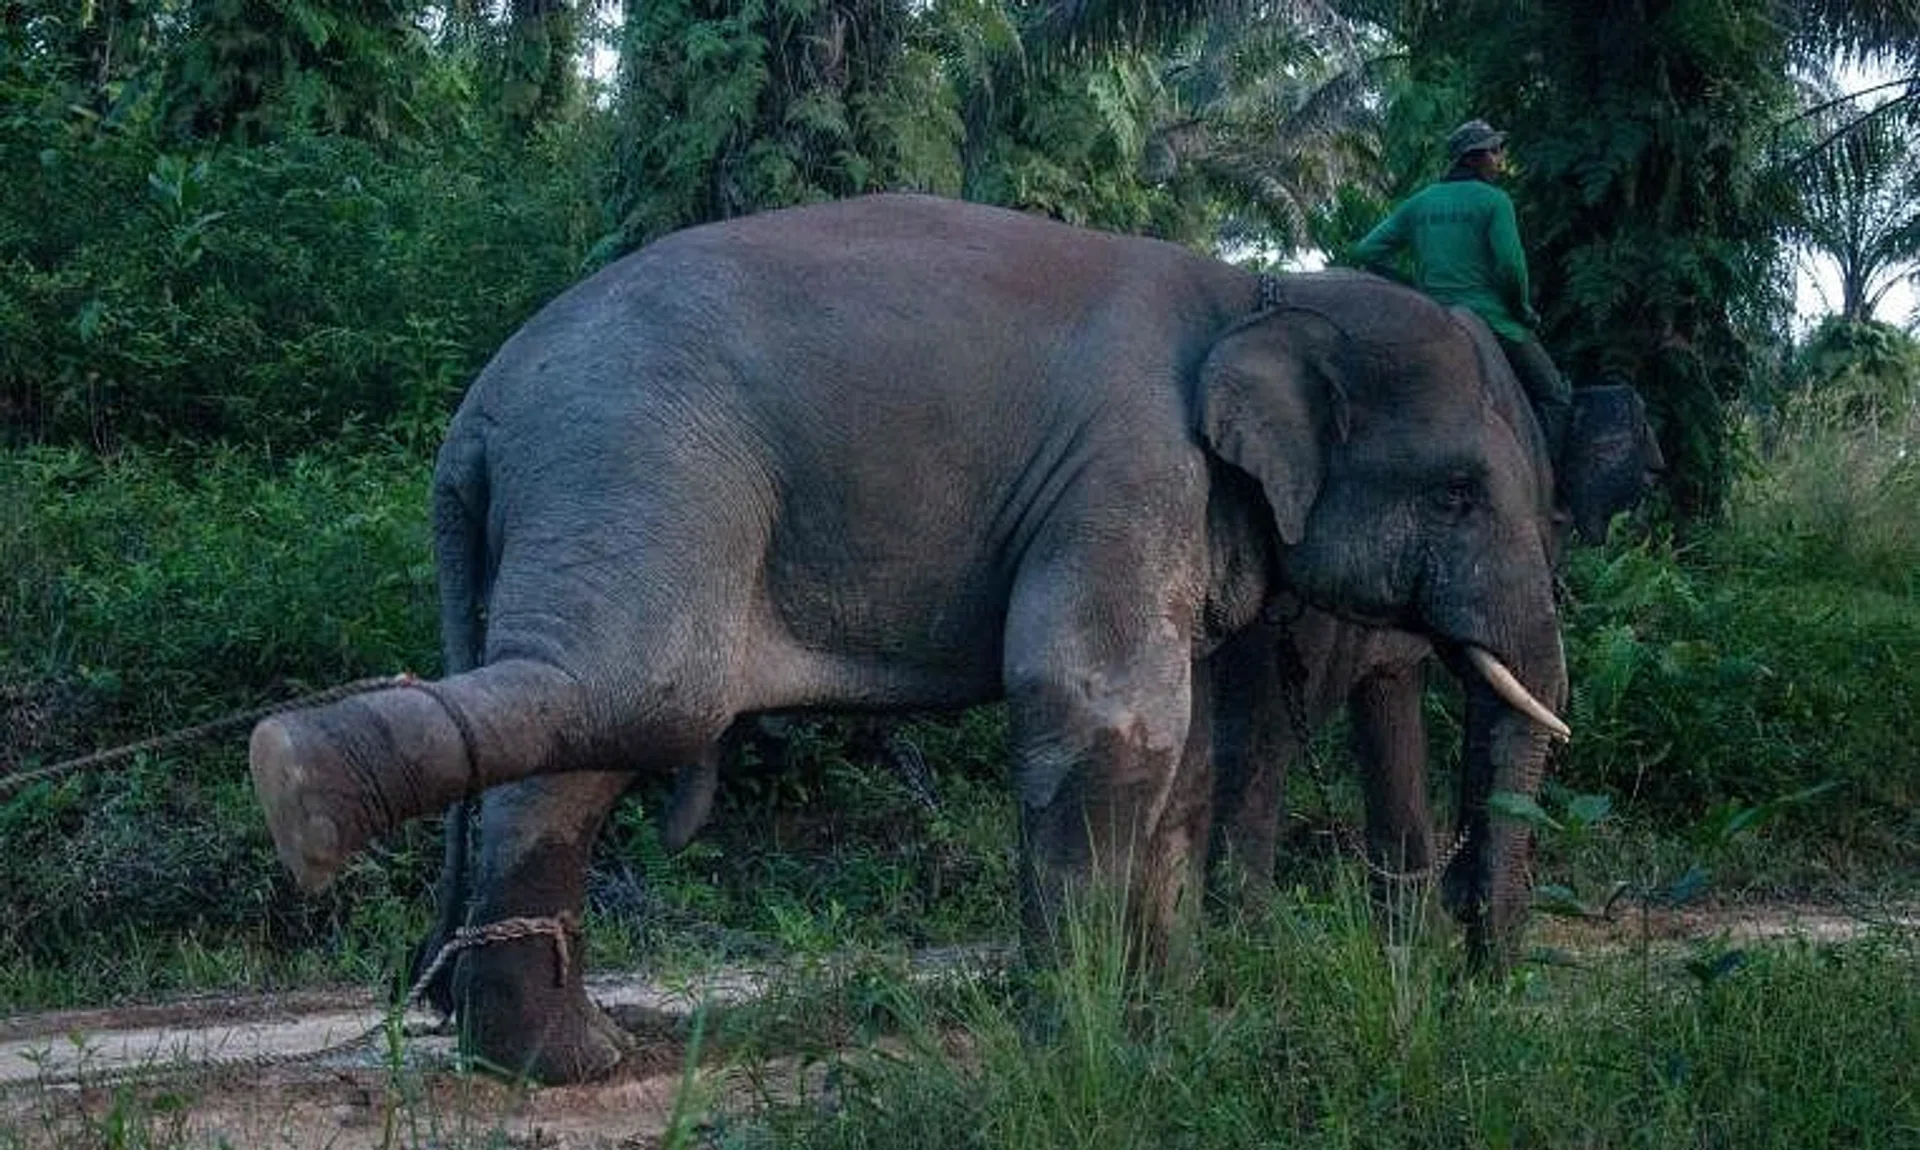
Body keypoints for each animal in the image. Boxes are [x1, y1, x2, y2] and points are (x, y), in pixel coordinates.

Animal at [247, 193, 1571, 1083]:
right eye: (1459, 493)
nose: (1482, 979)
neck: (1262, 292)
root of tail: (480, 409)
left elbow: (1180, 756)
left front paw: (1169, 1016)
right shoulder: (1129, 467)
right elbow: (1099, 709)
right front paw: (1079, 1039)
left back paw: (544, 1051)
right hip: (634, 462)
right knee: (640, 691)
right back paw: (307, 794)